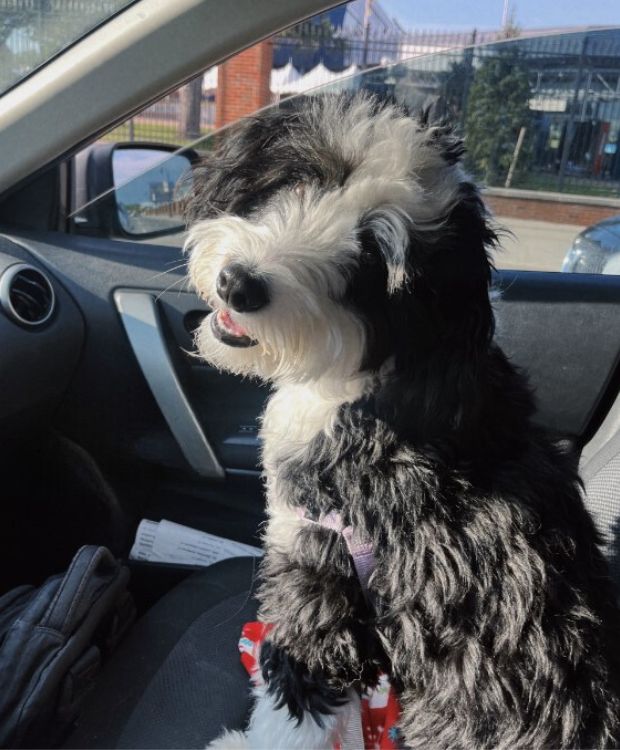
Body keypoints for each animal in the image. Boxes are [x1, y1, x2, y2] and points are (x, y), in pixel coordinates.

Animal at [184, 95, 620, 750]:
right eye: (305, 179)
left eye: (369, 258)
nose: (241, 284)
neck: (364, 385)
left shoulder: (318, 574)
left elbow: (293, 698)